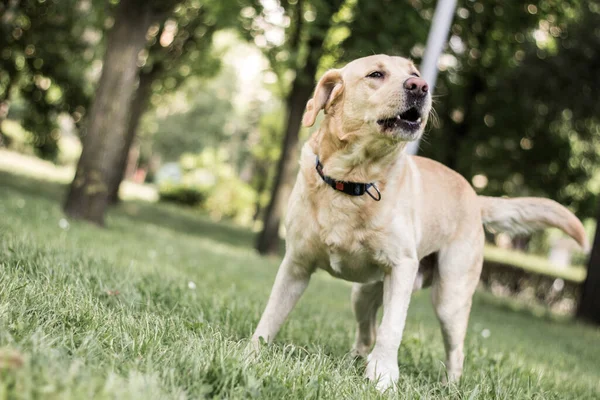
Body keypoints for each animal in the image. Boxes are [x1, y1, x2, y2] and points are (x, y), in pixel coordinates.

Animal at [251, 53, 588, 390]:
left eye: (413, 72)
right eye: (376, 74)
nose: (421, 86)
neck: (353, 182)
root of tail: (474, 195)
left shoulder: (401, 268)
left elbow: (392, 329)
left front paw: (383, 378)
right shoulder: (296, 265)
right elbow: (271, 315)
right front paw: (253, 353)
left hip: (450, 300)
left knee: (454, 351)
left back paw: (449, 387)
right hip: (363, 293)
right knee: (367, 333)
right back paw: (354, 361)